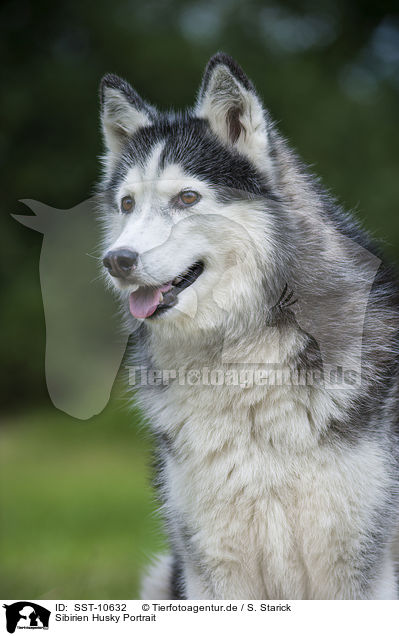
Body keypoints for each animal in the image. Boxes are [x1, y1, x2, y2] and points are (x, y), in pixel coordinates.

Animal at [97, 52, 399, 600]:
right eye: (127, 204)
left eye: (187, 198)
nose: (117, 261)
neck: (240, 360)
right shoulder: (211, 570)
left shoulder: (360, 571)